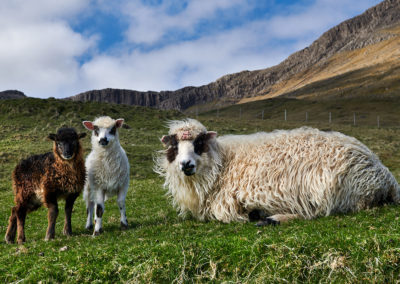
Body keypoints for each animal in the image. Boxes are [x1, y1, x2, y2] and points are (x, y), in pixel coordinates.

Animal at [154, 117, 400, 224]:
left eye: (198, 143)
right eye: (174, 146)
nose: (186, 165)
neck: (222, 163)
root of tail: (386, 178)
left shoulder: (227, 203)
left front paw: (252, 214)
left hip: (325, 188)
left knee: (315, 213)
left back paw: (270, 218)